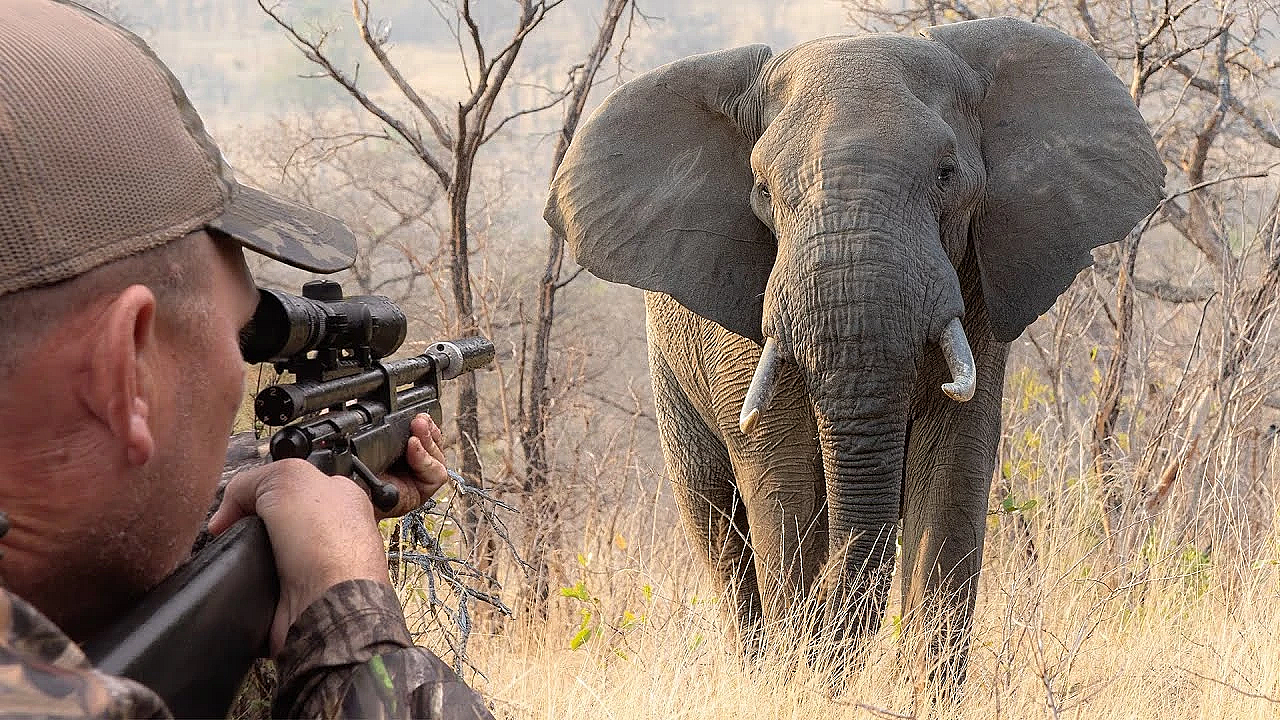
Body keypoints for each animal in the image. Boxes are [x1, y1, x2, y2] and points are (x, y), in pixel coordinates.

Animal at [544, 17, 1163, 689]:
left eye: (947, 173)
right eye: (761, 190)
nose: (823, 636)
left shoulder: (975, 284)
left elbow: (951, 470)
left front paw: (923, 692)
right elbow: (783, 480)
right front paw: (800, 672)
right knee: (716, 523)